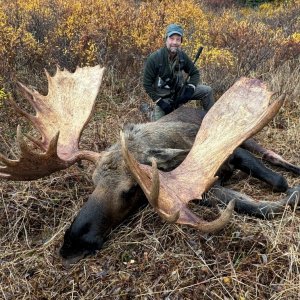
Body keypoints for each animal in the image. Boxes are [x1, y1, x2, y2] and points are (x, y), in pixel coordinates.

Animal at [0, 64, 298, 264]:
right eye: (93, 183)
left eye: (131, 190)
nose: (71, 244)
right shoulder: (198, 190)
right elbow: (248, 204)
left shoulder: (235, 152)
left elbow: (276, 181)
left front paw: (292, 191)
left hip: (249, 138)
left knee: (272, 155)